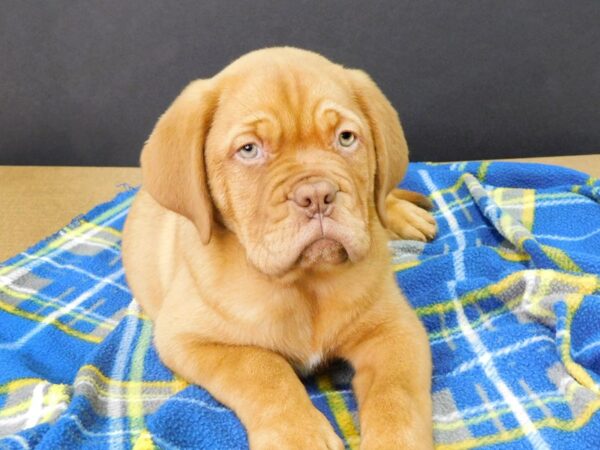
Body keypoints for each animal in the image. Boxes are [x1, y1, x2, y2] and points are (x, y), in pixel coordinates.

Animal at [122, 47, 436, 448]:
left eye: (346, 138)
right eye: (249, 149)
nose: (317, 195)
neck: (305, 283)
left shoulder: (395, 330)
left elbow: (395, 396)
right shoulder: (187, 337)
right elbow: (261, 369)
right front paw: (299, 435)